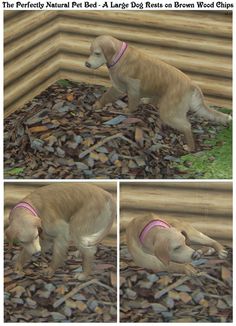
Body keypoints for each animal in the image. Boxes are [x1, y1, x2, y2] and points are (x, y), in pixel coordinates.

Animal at [85, 35, 231, 152]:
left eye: (97, 53)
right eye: (90, 52)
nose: (86, 64)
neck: (118, 56)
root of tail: (191, 83)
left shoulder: (124, 87)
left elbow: (114, 98)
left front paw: (102, 106)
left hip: (169, 112)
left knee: (186, 125)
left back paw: (190, 147)